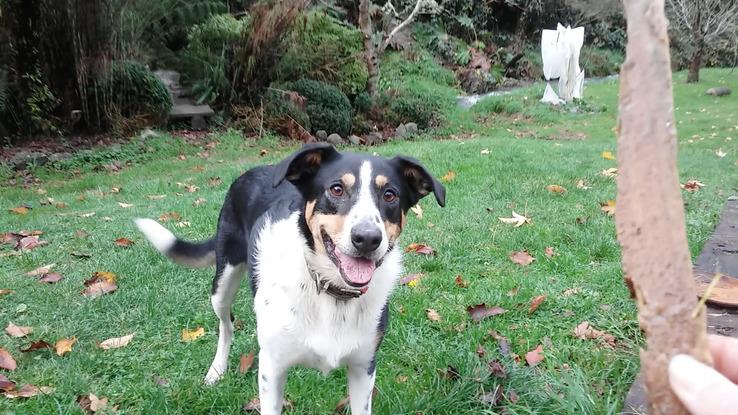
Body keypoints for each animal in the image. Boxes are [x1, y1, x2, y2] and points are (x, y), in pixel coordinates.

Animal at [134, 144, 442, 415]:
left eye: (390, 195)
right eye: (336, 189)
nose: (367, 238)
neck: (331, 292)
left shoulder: (363, 368)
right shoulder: (272, 369)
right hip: (223, 280)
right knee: (226, 324)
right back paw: (217, 370)